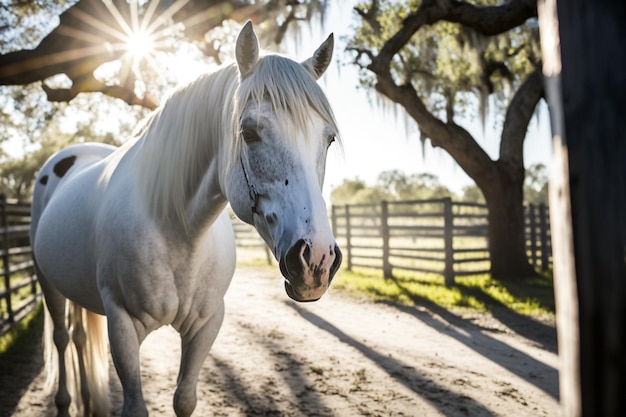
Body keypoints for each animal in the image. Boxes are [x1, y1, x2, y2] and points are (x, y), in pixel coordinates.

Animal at [29, 22, 342, 416]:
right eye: (248, 133)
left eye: (329, 140)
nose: (316, 260)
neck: (179, 230)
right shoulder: (123, 328)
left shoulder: (206, 327)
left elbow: (185, 399)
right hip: (48, 284)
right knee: (61, 338)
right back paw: (65, 402)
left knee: (81, 337)